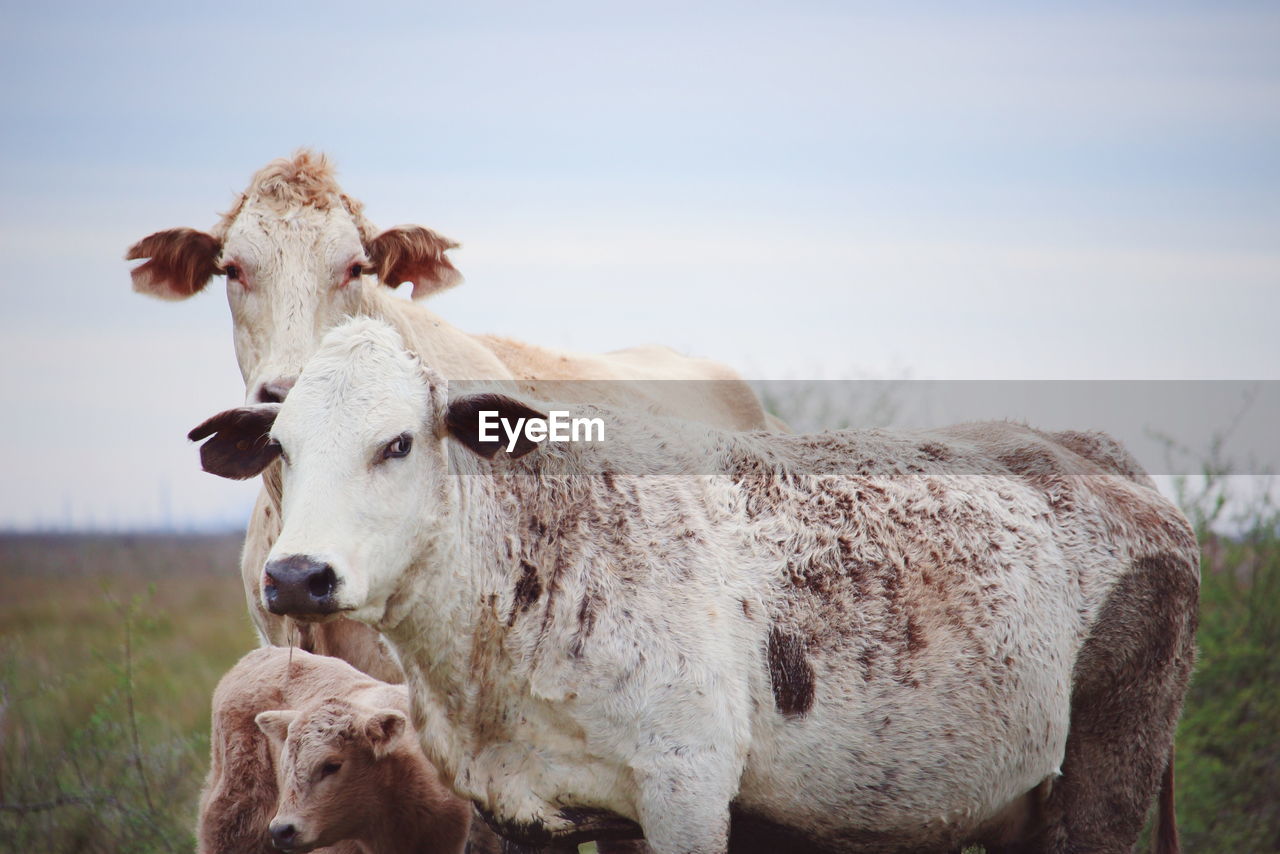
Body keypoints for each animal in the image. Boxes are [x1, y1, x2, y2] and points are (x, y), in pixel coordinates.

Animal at [192, 318, 1198, 854]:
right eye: (281, 448)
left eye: (397, 443)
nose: (298, 575)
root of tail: (1111, 465)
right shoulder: (503, 812)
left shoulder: (684, 794)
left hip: (1105, 786)